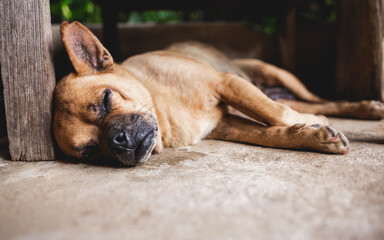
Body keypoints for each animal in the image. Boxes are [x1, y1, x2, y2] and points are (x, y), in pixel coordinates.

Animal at [53, 21, 384, 166]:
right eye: (90, 151)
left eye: (106, 99)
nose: (118, 140)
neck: (163, 108)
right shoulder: (227, 124)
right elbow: (272, 134)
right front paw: (311, 137)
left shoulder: (226, 83)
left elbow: (276, 114)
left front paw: (311, 125)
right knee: (308, 103)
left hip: (277, 75)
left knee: (316, 101)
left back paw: (364, 108)